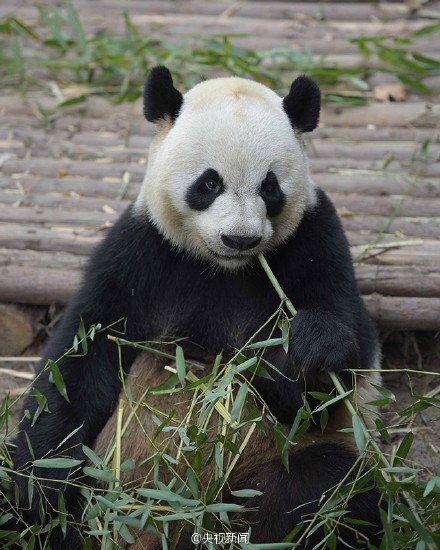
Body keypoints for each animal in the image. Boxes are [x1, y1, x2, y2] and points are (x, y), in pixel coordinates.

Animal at [11, 67, 382, 548]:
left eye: (270, 186)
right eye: (209, 183)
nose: (240, 239)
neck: (221, 269)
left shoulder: (316, 241)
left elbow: (317, 395)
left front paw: (310, 345)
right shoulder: (141, 254)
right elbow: (82, 359)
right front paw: (40, 489)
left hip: (259, 478)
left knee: (328, 491)